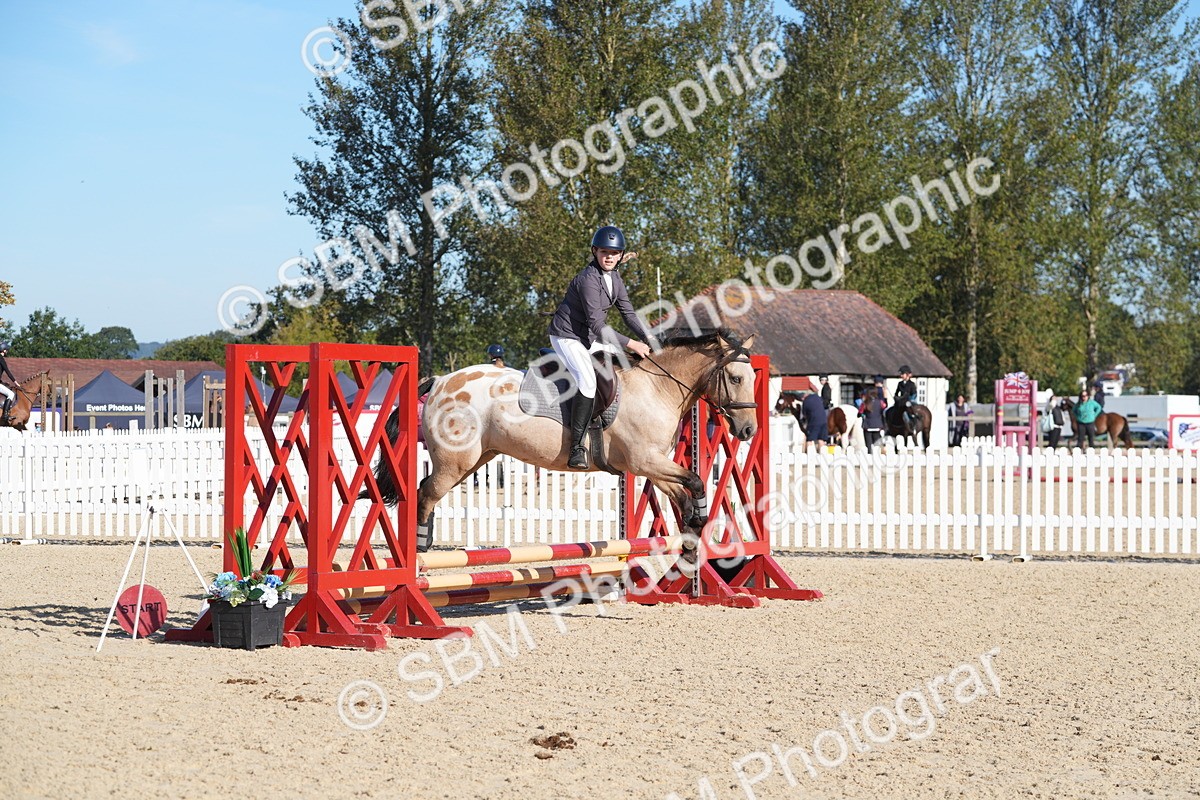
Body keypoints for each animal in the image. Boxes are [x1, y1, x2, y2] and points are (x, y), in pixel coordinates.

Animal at [371, 329, 760, 549]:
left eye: (753, 377)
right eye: (736, 378)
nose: (749, 431)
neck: (655, 388)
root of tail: (439, 381)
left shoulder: (651, 465)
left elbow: (685, 490)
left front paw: (694, 527)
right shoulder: (644, 460)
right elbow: (694, 480)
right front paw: (697, 521)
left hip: (475, 460)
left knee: (425, 492)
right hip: (454, 463)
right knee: (424, 495)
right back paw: (420, 551)